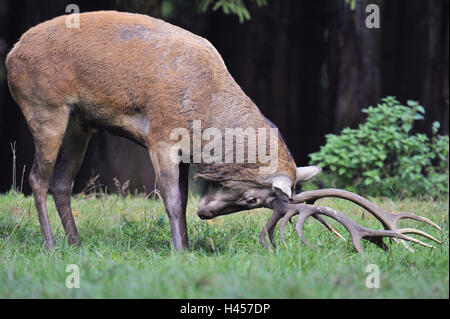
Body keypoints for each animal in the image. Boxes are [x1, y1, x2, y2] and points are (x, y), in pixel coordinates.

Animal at [5, 11, 442, 254]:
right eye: (252, 198)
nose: (208, 213)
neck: (205, 113)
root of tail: (11, 54)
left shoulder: (183, 153)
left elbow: (180, 202)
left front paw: (186, 244)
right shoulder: (161, 135)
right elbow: (171, 200)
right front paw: (180, 252)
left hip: (82, 123)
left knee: (62, 182)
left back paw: (77, 244)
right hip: (45, 108)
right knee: (37, 178)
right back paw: (50, 246)